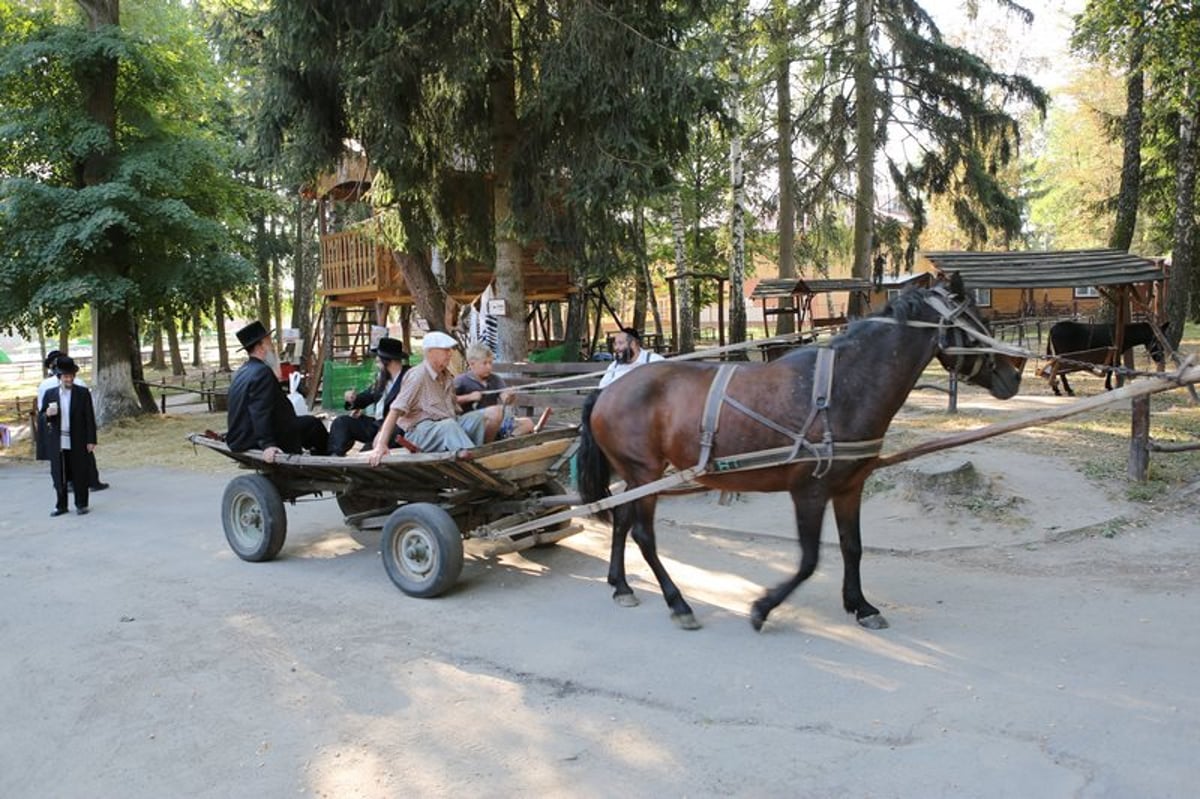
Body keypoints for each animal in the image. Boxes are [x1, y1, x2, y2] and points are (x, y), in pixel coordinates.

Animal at [576, 272, 1017, 628]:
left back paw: (621, 585)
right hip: (644, 473)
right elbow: (808, 560)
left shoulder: (849, 487)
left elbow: (852, 547)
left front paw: (861, 605)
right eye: (976, 321)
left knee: (621, 521)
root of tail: (605, 391)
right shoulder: (809, 491)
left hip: (636, 477)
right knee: (643, 535)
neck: (839, 388)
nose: (1013, 376)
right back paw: (678, 603)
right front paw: (763, 607)